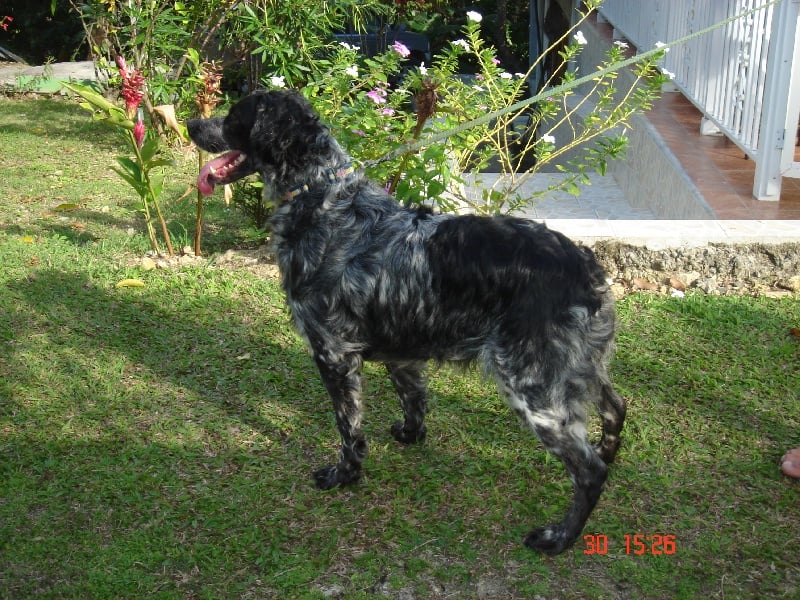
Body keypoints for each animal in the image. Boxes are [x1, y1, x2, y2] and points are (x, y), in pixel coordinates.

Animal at [188, 90, 627, 555]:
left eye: (234, 117)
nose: (192, 123)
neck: (323, 197)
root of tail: (586, 268)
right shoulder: (401, 350)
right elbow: (413, 397)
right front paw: (410, 435)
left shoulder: (333, 354)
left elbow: (349, 429)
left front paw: (344, 475)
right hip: (579, 369)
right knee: (615, 410)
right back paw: (606, 454)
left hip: (534, 388)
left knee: (589, 471)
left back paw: (559, 537)